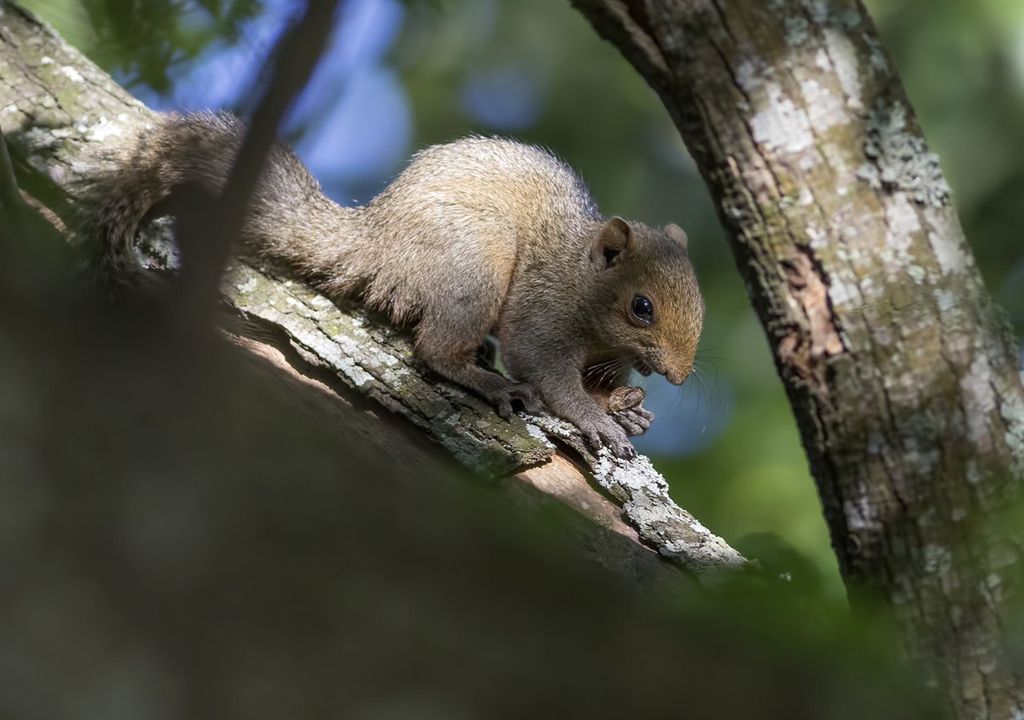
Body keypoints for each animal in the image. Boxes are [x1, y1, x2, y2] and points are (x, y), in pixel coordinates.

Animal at [83, 114, 704, 458]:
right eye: (641, 307)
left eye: (699, 307)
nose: (677, 377)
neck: (584, 288)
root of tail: (377, 243)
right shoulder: (542, 315)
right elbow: (548, 373)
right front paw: (596, 418)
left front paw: (625, 405)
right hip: (475, 260)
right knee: (435, 349)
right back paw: (489, 382)